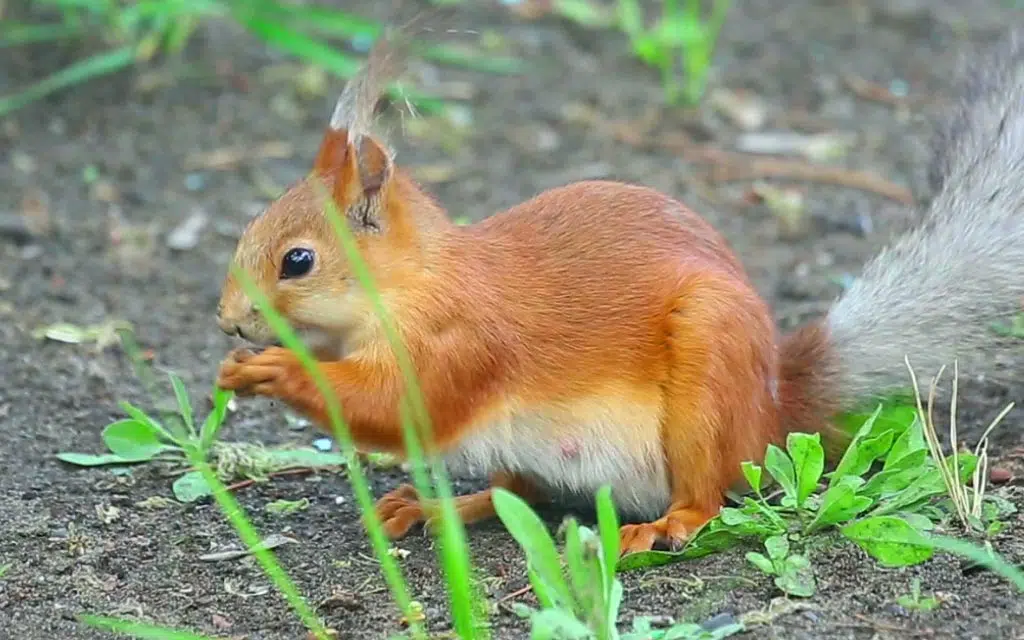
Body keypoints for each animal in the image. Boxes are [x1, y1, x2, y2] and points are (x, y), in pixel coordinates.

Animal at [214, 28, 1024, 552]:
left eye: (297, 261)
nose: (227, 321)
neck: (413, 286)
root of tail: (772, 407)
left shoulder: (461, 340)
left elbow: (397, 406)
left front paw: (276, 369)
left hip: (705, 384)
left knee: (707, 490)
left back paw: (669, 524)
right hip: (537, 449)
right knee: (520, 492)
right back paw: (440, 506)